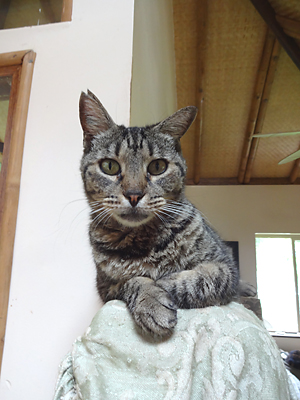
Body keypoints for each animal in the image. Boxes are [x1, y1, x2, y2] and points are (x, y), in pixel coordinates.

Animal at [78, 91, 240, 338]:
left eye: (157, 167)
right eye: (109, 166)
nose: (134, 194)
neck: (144, 240)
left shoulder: (225, 265)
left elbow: (205, 279)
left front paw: (165, 282)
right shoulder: (107, 288)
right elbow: (134, 280)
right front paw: (151, 300)